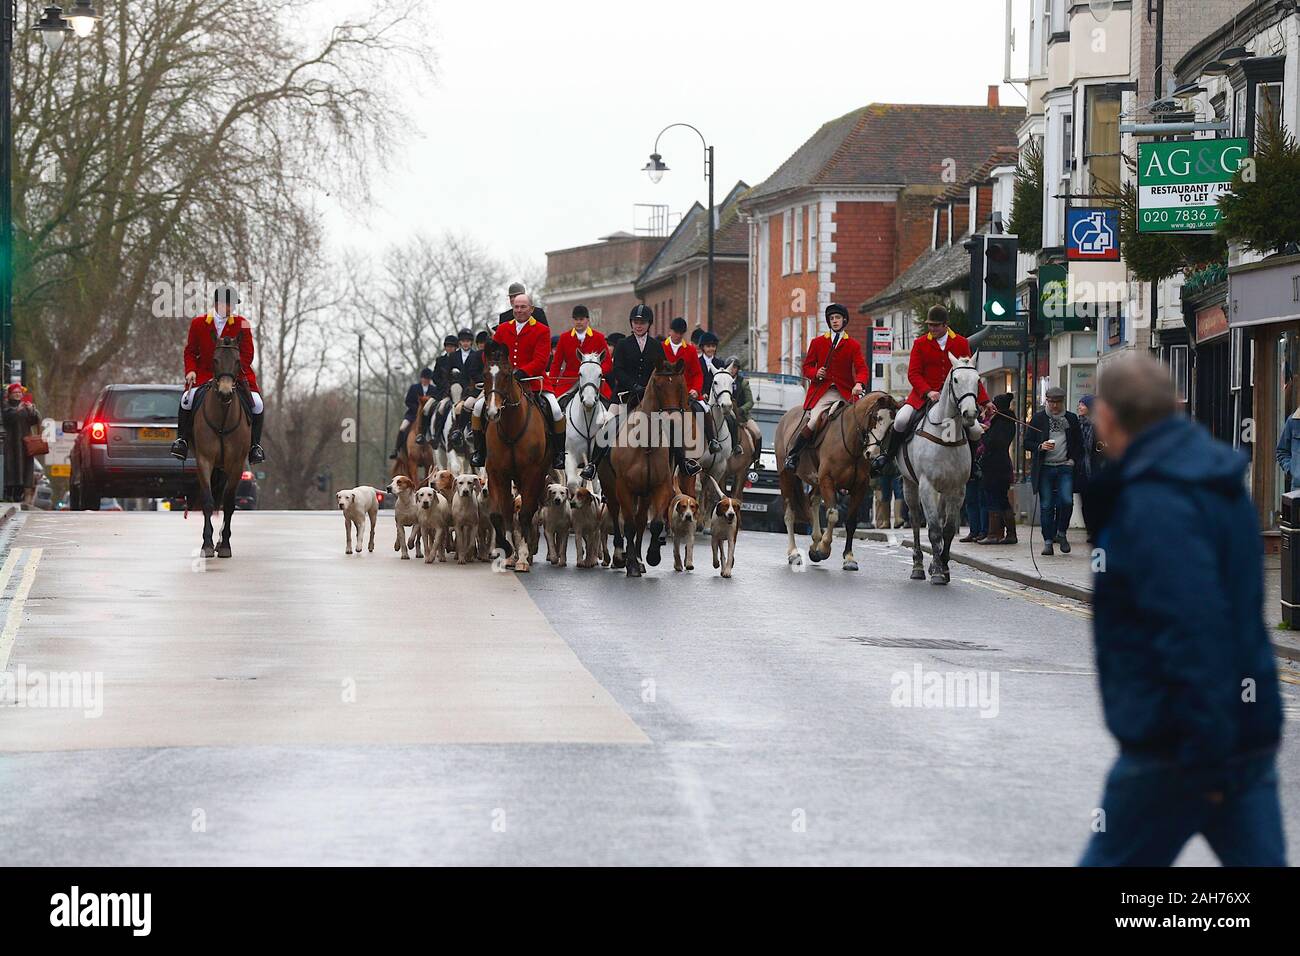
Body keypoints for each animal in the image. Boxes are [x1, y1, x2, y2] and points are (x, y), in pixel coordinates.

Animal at [483, 340, 553, 572]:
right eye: (485, 374)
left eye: (507, 375)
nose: (492, 412)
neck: (511, 427)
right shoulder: (497, 473)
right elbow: (501, 513)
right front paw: (508, 551)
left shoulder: (532, 473)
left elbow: (524, 514)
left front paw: (521, 556)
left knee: (529, 511)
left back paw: (527, 552)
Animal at [566, 348, 611, 486]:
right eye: (580, 373)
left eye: (600, 374)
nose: (589, 401)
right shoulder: (570, 455)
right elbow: (572, 483)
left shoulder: (595, 461)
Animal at [608, 358, 691, 580]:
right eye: (658, 386)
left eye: (680, 386)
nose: (673, 422)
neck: (645, 442)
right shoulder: (623, 488)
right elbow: (627, 526)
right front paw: (630, 565)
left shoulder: (661, 487)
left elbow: (654, 524)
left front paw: (652, 556)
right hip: (611, 488)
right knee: (616, 515)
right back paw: (620, 556)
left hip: (643, 495)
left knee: (640, 520)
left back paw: (639, 558)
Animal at [774, 392, 899, 572]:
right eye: (876, 417)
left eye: (891, 424)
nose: (873, 454)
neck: (852, 443)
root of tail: (786, 416)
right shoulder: (828, 480)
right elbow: (833, 515)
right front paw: (824, 548)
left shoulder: (859, 487)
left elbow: (851, 522)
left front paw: (849, 557)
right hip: (787, 477)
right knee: (790, 514)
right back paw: (794, 553)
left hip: (816, 481)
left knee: (812, 501)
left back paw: (815, 542)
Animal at [904, 356, 982, 587]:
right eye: (955, 379)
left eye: (978, 379)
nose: (970, 414)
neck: (946, 435)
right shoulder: (926, 486)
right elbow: (934, 530)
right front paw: (938, 572)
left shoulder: (957, 489)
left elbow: (947, 530)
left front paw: (944, 567)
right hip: (910, 484)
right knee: (915, 519)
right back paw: (918, 566)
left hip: (944, 490)